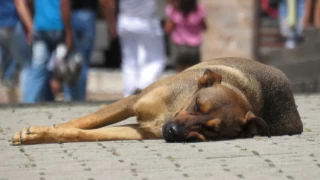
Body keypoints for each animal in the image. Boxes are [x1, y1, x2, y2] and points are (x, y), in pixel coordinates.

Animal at [11, 57, 302, 145]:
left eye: (212, 130)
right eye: (197, 106)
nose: (172, 132)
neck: (172, 110)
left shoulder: (139, 131)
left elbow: (79, 132)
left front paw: (40, 134)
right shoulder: (132, 102)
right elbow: (81, 121)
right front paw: (38, 132)